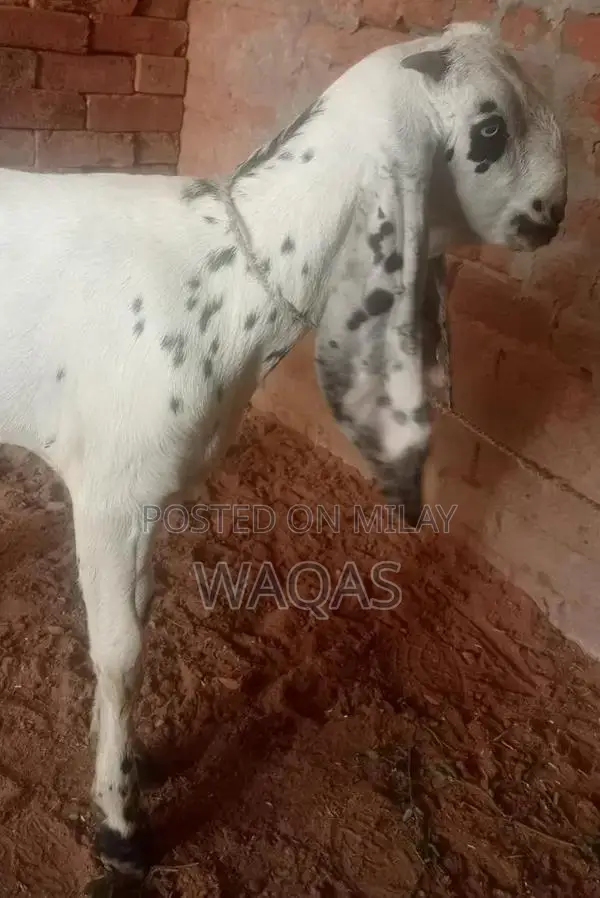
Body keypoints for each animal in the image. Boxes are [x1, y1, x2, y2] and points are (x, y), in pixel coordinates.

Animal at [0, 20, 566, 889]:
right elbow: (121, 651)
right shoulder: (110, 494)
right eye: (490, 131)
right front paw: (121, 825)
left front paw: (135, 763)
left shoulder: (150, 500)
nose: (556, 209)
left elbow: (140, 622)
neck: (227, 275)